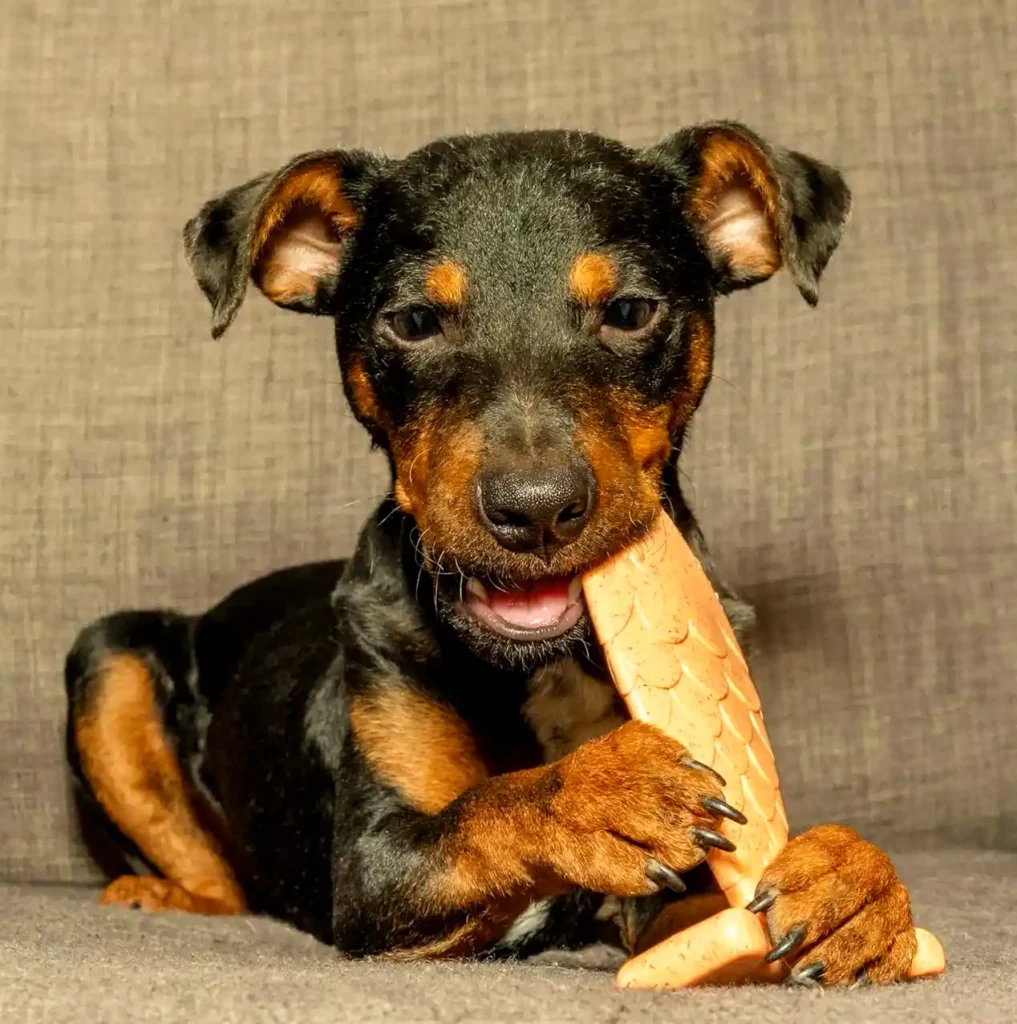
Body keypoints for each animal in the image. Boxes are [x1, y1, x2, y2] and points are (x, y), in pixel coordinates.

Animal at [63, 125, 917, 983]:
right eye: (412, 321)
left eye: (631, 311)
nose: (534, 510)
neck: (544, 665)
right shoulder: (373, 871)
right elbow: (489, 807)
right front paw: (602, 790)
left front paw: (853, 883)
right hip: (108, 656)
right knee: (213, 873)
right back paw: (151, 894)